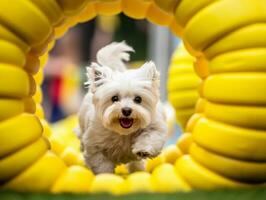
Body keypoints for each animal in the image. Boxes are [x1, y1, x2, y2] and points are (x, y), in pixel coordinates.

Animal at [76, 41, 166, 174]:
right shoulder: (94, 144)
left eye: (138, 99)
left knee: (136, 163)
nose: (126, 110)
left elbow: (151, 136)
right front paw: (106, 175)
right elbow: (101, 164)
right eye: (114, 98)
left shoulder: (155, 126)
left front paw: (143, 150)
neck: (124, 133)